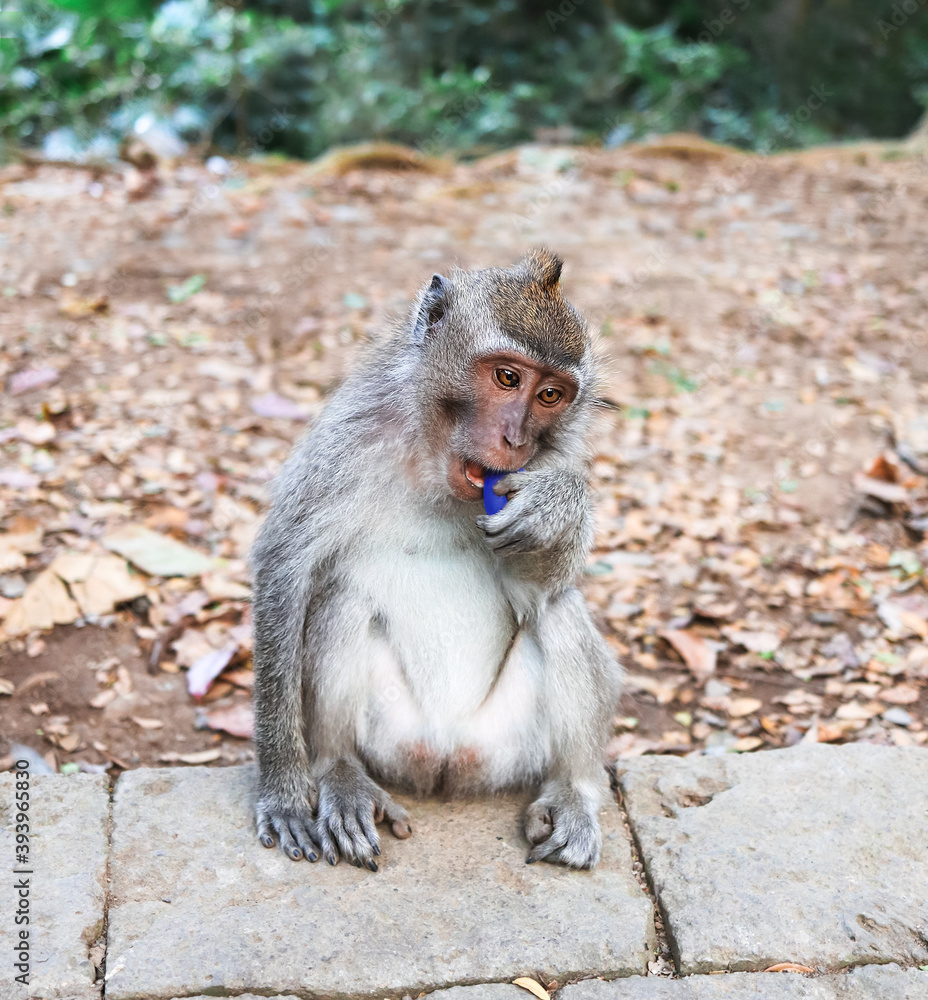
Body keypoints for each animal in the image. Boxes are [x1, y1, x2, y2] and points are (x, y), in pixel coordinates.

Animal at [250, 248, 620, 868]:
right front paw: (283, 791)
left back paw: (574, 792)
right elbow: (285, 571)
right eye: (507, 377)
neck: (432, 458)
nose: (516, 440)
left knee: (560, 610)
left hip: (507, 747)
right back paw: (339, 774)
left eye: (551, 395)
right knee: (342, 599)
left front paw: (555, 507)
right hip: (394, 738)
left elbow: (540, 588)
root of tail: (447, 761)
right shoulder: (345, 442)